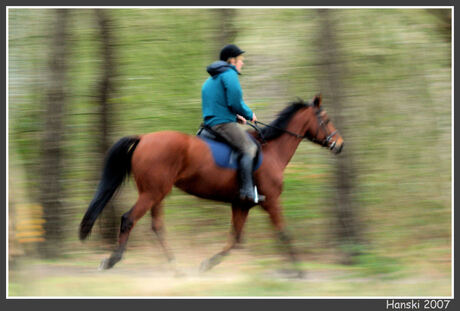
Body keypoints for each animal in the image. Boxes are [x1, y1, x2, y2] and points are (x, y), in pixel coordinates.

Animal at [79, 94, 344, 276]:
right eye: (326, 119)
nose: (340, 144)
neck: (272, 151)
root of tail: (144, 138)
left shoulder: (241, 205)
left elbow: (234, 240)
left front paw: (206, 264)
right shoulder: (271, 202)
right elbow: (284, 232)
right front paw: (299, 271)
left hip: (157, 193)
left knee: (157, 227)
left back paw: (176, 269)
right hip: (152, 193)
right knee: (129, 218)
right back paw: (112, 260)